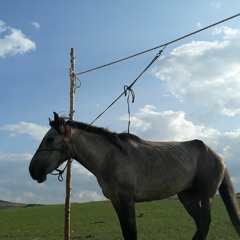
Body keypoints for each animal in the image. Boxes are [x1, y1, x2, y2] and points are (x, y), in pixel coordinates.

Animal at [29, 112, 240, 240]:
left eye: (50, 139)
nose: (32, 170)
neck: (110, 157)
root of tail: (216, 155)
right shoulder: (116, 201)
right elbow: (126, 233)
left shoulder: (127, 199)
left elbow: (132, 233)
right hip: (187, 197)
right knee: (199, 223)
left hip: (206, 196)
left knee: (204, 223)